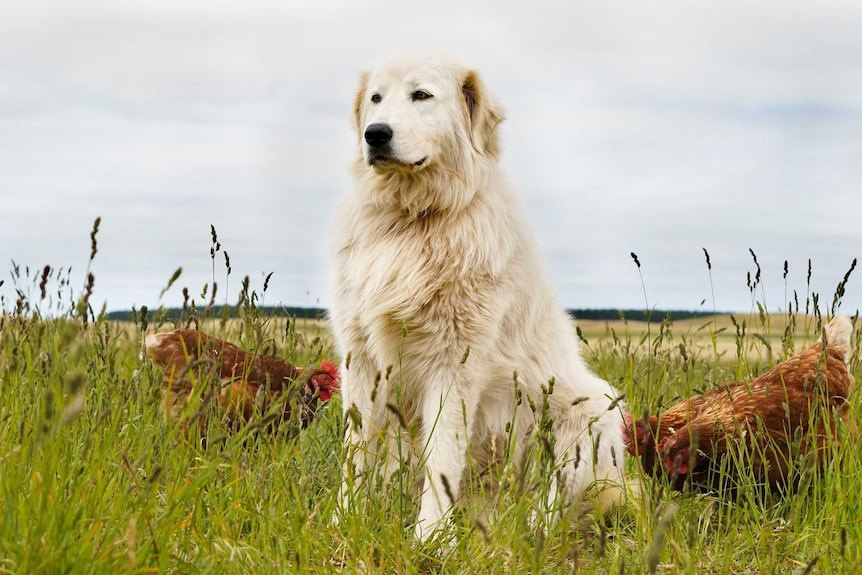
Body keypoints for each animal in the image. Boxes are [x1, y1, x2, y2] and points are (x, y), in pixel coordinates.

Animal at [332, 50, 628, 540]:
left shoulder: (455, 365)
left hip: (591, 412)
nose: (375, 134)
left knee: (552, 501)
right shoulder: (362, 359)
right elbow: (356, 453)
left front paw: (430, 538)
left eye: (421, 95)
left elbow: (442, 459)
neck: (411, 221)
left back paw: (526, 531)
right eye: (375, 98)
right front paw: (345, 520)